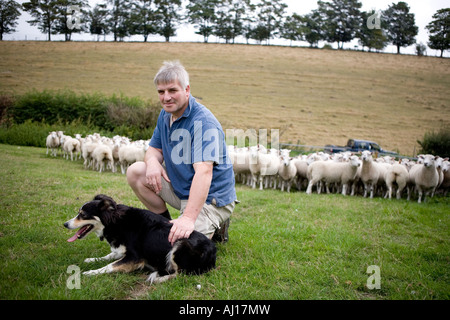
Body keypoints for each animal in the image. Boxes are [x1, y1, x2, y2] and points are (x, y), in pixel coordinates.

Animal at [64, 194, 217, 284]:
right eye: (79, 213)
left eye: (82, 215)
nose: (65, 224)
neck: (115, 222)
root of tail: (213, 253)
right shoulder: (122, 250)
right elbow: (109, 256)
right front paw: (91, 260)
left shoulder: (135, 258)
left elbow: (110, 266)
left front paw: (91, 272)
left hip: (180, 244)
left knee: (182, 274)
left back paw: (159, 278)